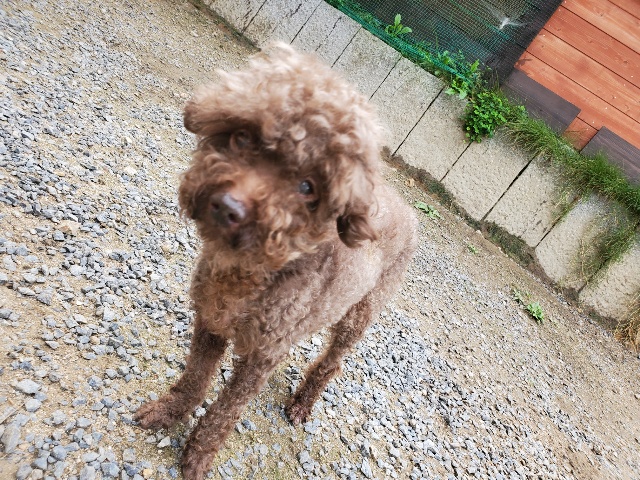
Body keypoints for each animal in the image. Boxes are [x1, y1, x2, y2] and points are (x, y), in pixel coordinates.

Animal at [134, 44, 418, 479]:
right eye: (242, 137)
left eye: (307, 187)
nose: (228, 207)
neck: (249, 270)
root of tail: (407, 208)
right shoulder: (211, 320)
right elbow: (195, 379)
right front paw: (169, 411)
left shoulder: (259, 356)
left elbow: (225, 411)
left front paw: (199, 455)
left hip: (361, 313)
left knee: (332, 362)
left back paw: (303, 402)